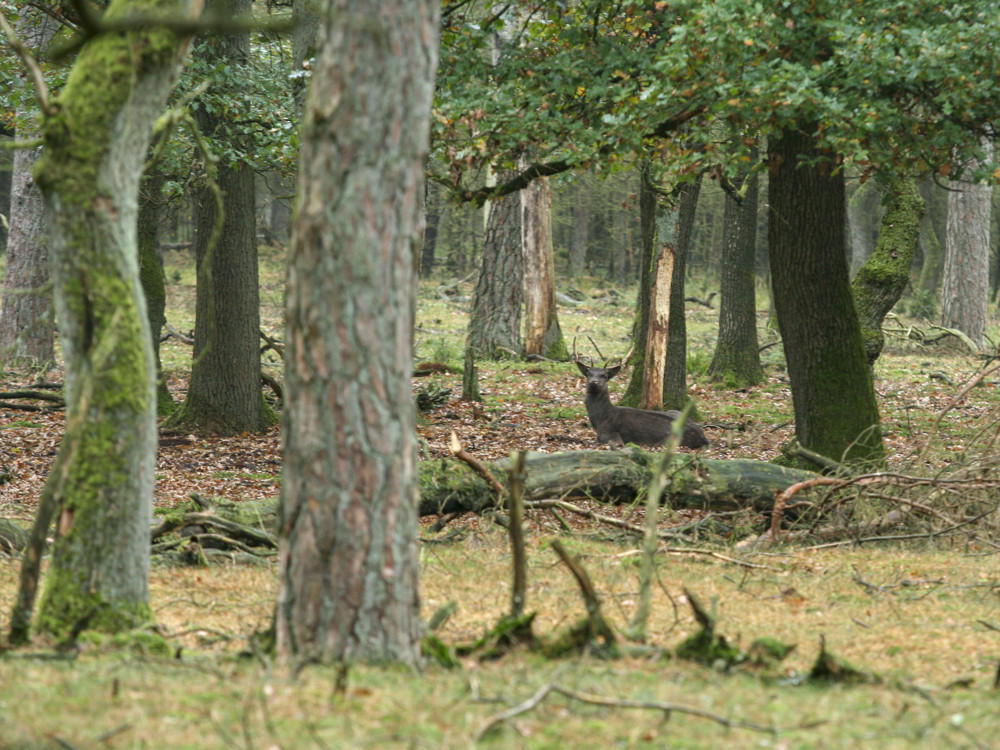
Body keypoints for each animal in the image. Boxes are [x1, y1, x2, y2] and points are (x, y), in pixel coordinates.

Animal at [572, 342, 712, 452]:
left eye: (604, 376)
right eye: (588, 374)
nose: (593, 382)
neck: (601, 418)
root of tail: (703, 437)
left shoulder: (610, 435)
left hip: (668, 440)